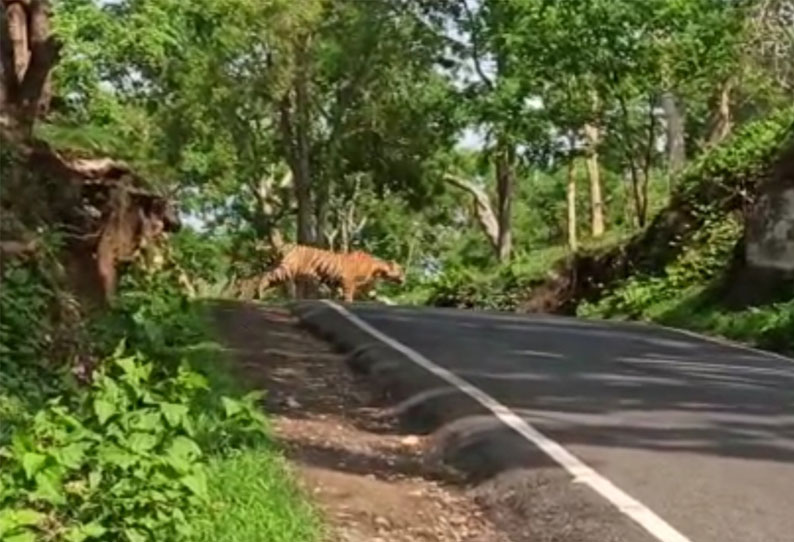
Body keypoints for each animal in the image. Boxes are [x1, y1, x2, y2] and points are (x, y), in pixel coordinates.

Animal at [256, 245, 406, 304]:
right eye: (401, 271)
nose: (405, 279)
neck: (378, 270)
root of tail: (290, 245)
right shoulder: (348, 281)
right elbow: (348, 295)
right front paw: (347, 302)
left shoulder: (367, 288)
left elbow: (378, 296)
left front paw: (391, 302)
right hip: (286, 270)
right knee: (266, 276)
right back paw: (260, 293)